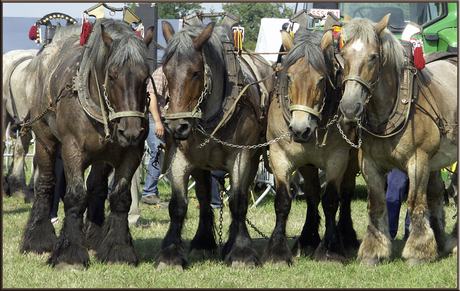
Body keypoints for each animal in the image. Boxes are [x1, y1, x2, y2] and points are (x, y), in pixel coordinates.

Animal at [19, 19, 155, 272]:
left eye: (145, 77)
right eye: (112, 75)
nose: (131, 131)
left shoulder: (132, 153)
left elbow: (120, 198)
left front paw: (118, 249)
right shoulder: (72, 151)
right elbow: (75, 197)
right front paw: (69, 253)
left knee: (97, 187)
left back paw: (96, 236)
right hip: (44, 139)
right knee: (45, 183)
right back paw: (38, 239)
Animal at [156, 21, 274, 272]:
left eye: (195, 72)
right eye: (167, 73)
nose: (176, 127)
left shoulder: (242, 157)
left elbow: (238, 203)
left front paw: (241, 251)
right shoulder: (179, 159)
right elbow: (178, 205)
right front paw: (171, 254)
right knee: (202, 196)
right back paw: (204, 241)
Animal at [262, 27, 360, 266]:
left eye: (321, 80)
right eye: (288, 77)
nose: (300, 129)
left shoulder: (338, 159)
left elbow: (331, 201)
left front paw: (330, 250)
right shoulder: (280, 157)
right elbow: (283, 201)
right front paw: (278, 252)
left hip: (353, 160)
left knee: (346, 194)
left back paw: (347, 236)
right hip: (307, 164)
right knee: (313, 194)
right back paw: (308, 238)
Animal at [338, 14, 456, 268]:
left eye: (373, 57)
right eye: (342, 55)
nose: (349, 107)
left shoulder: (419, 161)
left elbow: (415, 203)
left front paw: (418, 251)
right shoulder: (369, 165)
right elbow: (377, 205)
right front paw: (373, 251)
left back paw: (453, 242)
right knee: (436, 194)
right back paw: (441, 240)